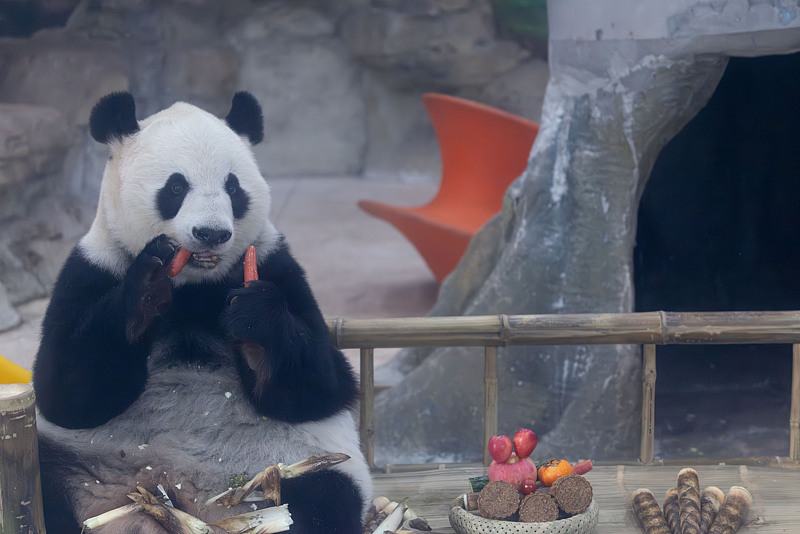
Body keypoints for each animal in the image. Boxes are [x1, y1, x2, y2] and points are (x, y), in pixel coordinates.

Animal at [32, 91, 372, 534]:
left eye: (233, 187)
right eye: (176, 186)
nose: (212, 234)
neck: (193, 287)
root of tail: (174, 493)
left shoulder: (275, 264)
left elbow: (319, 387)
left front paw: (255, 321)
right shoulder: (94, 267)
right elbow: (65, 393)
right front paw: (145, 292)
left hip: (282, 468)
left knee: (324, 499)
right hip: (81, 464)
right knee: (43, 478)